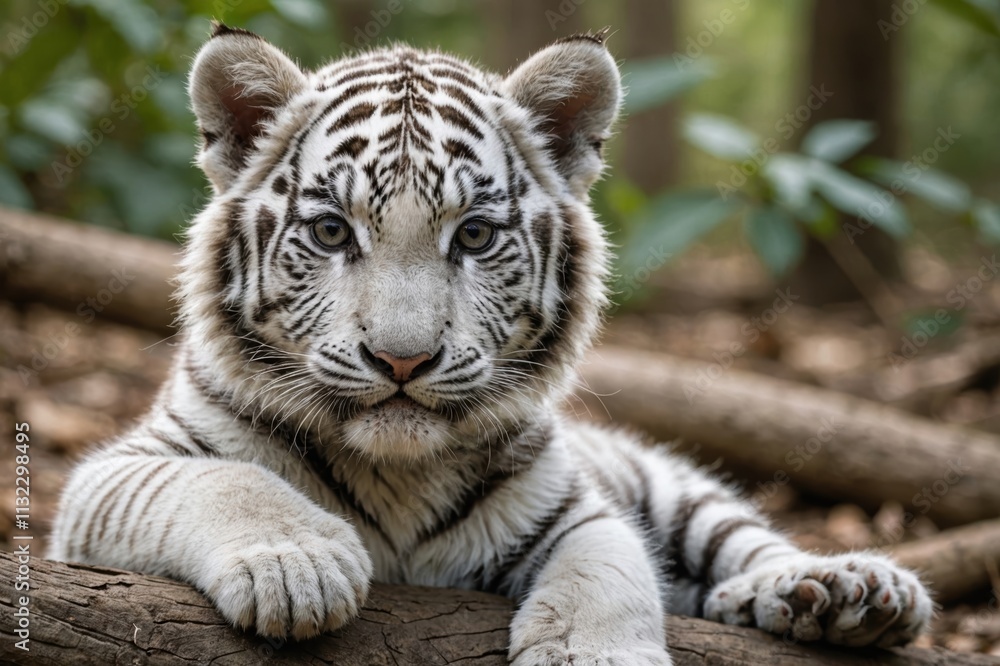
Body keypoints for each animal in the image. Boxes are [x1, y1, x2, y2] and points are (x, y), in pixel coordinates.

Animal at [48, 24, 933, 665]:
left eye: (473, 236)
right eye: (332, 231)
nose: (401, 361)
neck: (397, 473)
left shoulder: (575, 506)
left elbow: (610, 564)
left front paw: (594, 655)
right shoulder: (107, 483)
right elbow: (224, 482)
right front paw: (295, 565)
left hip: (674, 490)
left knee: (741, 543)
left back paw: (844, 590)